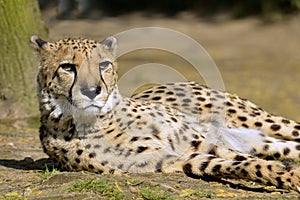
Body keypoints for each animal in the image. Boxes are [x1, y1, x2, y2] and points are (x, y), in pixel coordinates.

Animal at [29, 35, 300, 192]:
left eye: (103, 65)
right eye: (67, 67)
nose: (92, 91)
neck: (103, 120)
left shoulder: (199, 142)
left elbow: (245, 160)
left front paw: (292, 176)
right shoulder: (178, 159)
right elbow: (243, 164)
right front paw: (291, 176)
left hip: (264, 122)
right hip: (264, 141)